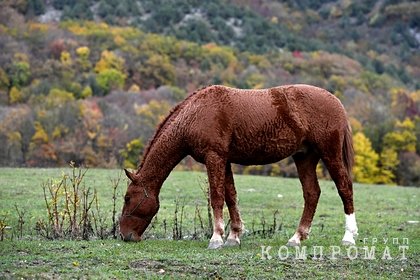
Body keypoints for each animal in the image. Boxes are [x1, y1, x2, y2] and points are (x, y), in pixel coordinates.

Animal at [120, 84, 360, 248]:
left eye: (127, 198)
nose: (124, 235)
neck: (195, 113)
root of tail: (336, 102)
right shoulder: (224, 160)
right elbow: (230, 196)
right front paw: (234, 236)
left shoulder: (214, 158)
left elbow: (217, 197)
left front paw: (216, 238)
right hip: (305, 157)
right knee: (312, 193)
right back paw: (296, 237)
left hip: (329, 154)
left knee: (344, 188)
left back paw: (349, 236)